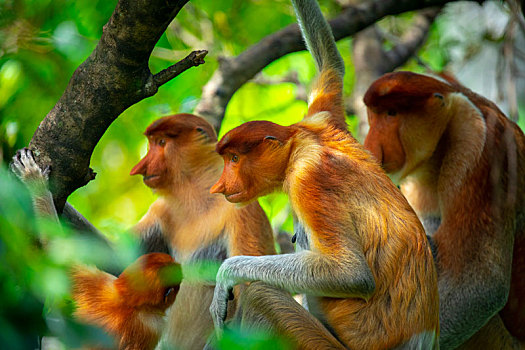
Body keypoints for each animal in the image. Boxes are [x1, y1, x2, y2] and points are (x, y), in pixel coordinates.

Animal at [207, 1, 440, 348]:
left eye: (234, 158)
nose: (220, 185)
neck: (299, 143)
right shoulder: (323, 118)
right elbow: (330, 65)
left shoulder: (308, 177)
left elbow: (351, 273)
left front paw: (226, 276)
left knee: (261, 294)